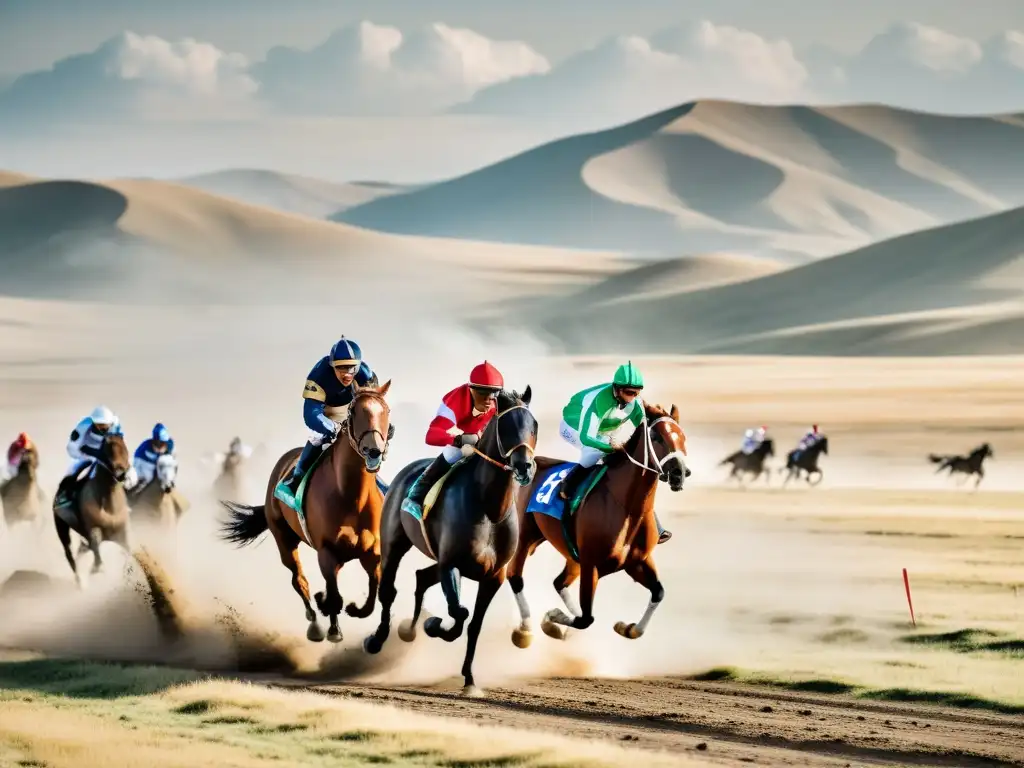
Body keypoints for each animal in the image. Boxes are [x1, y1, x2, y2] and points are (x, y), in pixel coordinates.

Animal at [52, 434, 134, 589]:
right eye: (107, 447)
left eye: (124, 447)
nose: (121, 474)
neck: (109, 506)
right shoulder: (93, 528)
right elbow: (96, 547)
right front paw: (97, 569)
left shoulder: (122, 532)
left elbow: (128, 552)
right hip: (61, 527)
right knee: (69, 553)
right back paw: (80, 583)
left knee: (82, 550)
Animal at [222, 382, 393, 643]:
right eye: (353, 411)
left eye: (386, 411)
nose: (374, 450)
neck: (351, 496)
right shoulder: (327, 552)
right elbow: (332, 594)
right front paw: (333, 627)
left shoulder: (371, 551)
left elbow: (373, 592)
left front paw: (355, 609)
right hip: (283, 538)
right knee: (299, 580)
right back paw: (314, 623)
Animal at [364, 387, 540, 696]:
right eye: (507, 426)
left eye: (534, 426)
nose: (524, 467)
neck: (489, 508)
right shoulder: (451, 564)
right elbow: (459, 612)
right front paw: (434, 625)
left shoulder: (493, 576)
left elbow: (474, 625)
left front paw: (469, 679)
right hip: (394, 544)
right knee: (388, 590)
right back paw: (378, 639)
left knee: (422, 577)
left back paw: (408, 630)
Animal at [505, 403, 684, 651]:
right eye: (657, 436)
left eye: (683, 437)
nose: (680, 473)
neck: (627, 507)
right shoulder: (591, 565)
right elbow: (585, 618)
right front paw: (552, 618)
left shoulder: (638, 562)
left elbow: (658, 593)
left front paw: (628, 628)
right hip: (525, 537)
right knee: (514, 575)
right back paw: (526, 630)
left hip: (572, 555)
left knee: (559, 582)